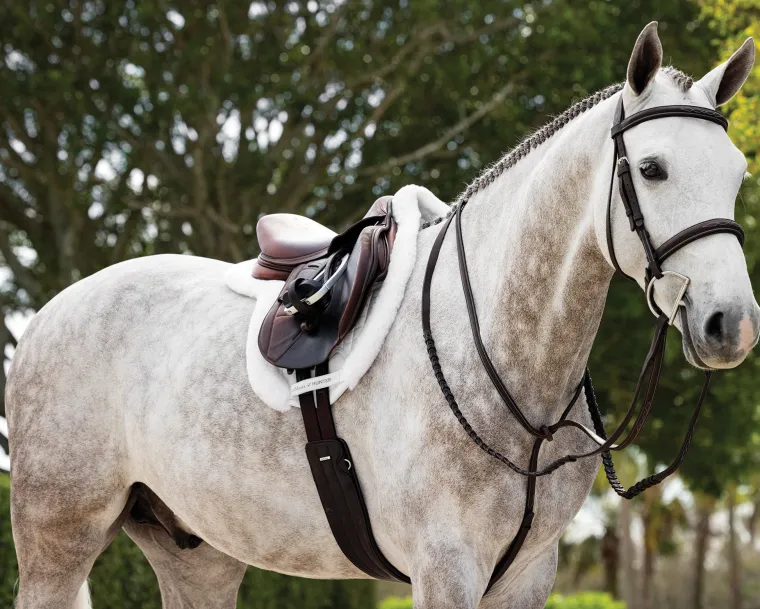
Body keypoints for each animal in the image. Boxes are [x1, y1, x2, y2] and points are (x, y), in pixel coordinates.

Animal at [7, 23, 759, 609]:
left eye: (738, 172)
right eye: (654, 168)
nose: (732, 324)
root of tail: (47, 314)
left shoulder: (527, 575)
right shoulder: (445, 567)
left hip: (198, 554)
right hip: (58, 542)